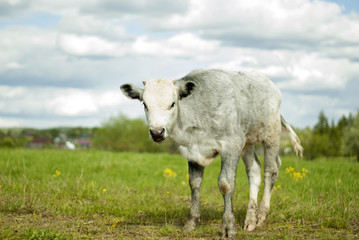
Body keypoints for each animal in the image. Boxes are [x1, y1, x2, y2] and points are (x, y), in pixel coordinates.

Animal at [121, 68, 304, 237]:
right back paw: (250, 219)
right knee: (254, 171)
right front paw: (192, 222)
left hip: (271, 134)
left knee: (270, 171)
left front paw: (229, 226)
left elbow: (226, 184)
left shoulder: (231, 145)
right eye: (145, 104)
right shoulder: (193, 151)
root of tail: (270, 84)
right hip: (247, 142)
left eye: (172, 103)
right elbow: (194, 183)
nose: (157, 132)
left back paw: (261, 215)